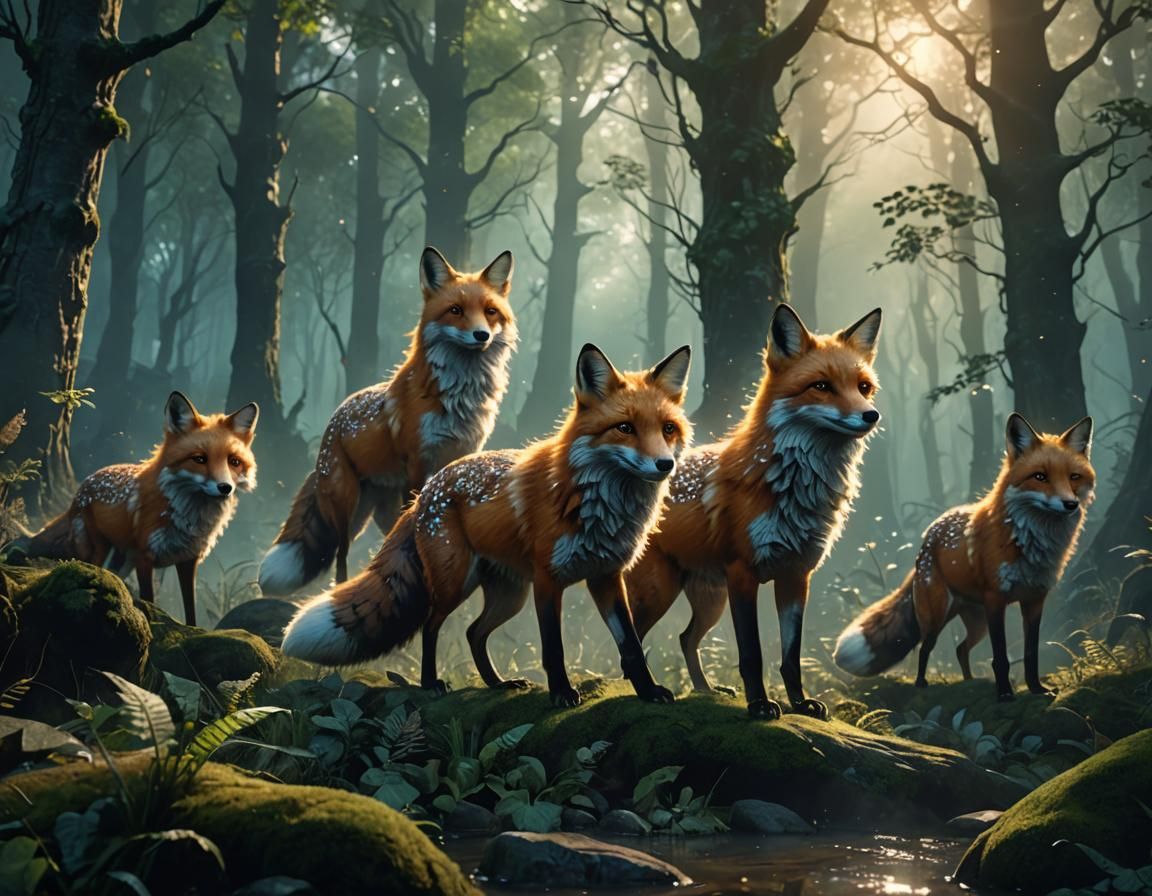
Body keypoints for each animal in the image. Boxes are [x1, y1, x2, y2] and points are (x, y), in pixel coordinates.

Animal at [9, 392, 258, 625]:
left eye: (234, 462)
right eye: (199, 459)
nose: (225, 487)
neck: (188, 517)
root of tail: (84, 485)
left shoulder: (188, 560)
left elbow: (191, 611)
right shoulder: (144, 557)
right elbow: (150, 600)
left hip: (120, 559)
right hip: (95, 550)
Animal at [259, 246, 517, 596]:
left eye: (490, 312)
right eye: (455, 310)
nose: (482, 335)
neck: (457, 399)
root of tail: (334, 419)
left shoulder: (462, 458)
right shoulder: (418, 461)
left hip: (375, 511)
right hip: (346, 509)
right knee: (340, 557)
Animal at [282, 343, 693, 707]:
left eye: (668, 429)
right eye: (625, 428)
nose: (665, 465)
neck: (598, 506)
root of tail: (424, 492)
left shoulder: (606, 576)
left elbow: (631, 645)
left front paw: (648, 691)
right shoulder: (548, 580)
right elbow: (553, 649)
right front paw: (562, 694)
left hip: (509, 595)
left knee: (473, 632)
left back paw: (497, 683)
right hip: (456, 581)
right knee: (430, 626)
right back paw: (430, 683)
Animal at [624, 303, 883, 720]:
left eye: (863, 387)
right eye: (822, 386)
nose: (871, 415)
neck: (794, 491)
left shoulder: (796, 575)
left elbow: (791, 657)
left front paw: (800, 703)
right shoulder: (742, 573)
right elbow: (752, 654)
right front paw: (760, 704)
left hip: (708, 600)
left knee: (685, 638)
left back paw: (704, 691)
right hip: (659, 592)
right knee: (631, 638)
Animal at [833, 413, 1094, 701]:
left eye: (1074, 477)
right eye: (1040, 476)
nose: (1070, 504)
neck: (1029, 545)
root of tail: (927, 538)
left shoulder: (1035, 600)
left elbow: (1030, 654)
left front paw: (1037, 689)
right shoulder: (996, 599)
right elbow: (1000, 658)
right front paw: (1005, 695)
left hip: (976, 623)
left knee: (960, 649)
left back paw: (970, 682)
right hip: (938, 615)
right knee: (925, 648)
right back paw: (921, 684)